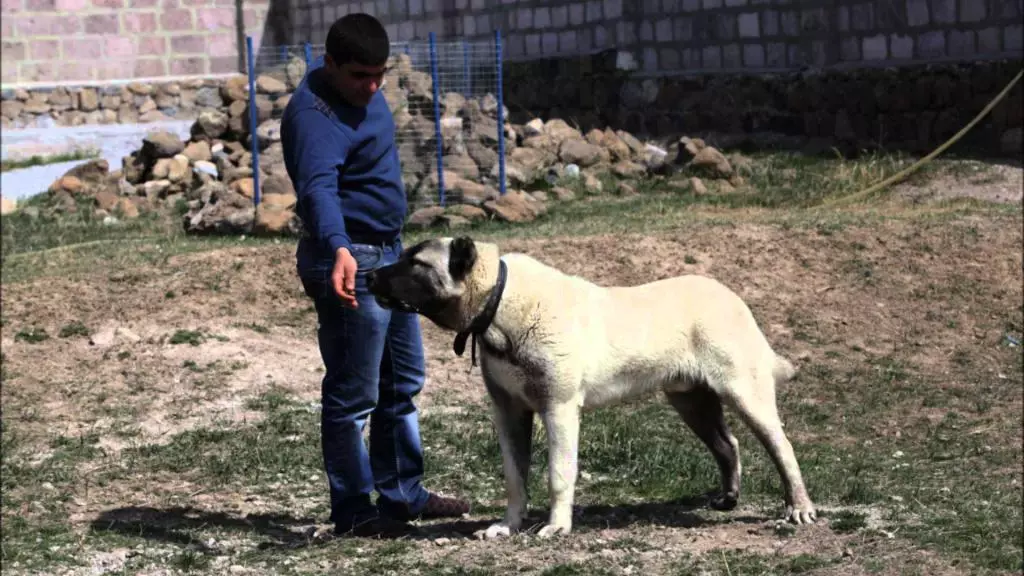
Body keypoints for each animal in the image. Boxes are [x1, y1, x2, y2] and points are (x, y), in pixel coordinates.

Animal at [368, 235, 815, 537]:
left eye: (416, 263)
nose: (369, 274)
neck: (498, 303)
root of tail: (733, 297)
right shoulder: (509, 412)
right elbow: (515, 476)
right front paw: (508, 526)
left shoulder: (559, 408)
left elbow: (558, 473)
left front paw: (556, 527)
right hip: (691, 401)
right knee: (727, 444)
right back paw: (728, 497)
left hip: (744, 393)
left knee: (782, 448)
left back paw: (799, 508)